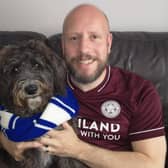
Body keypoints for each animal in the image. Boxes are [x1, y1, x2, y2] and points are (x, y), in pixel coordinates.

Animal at [0, 40, 89, 168]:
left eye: (37, 65)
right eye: (15, 69)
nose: (31, 89)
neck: (37, 114)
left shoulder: (66, 149)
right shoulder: (32, 156)